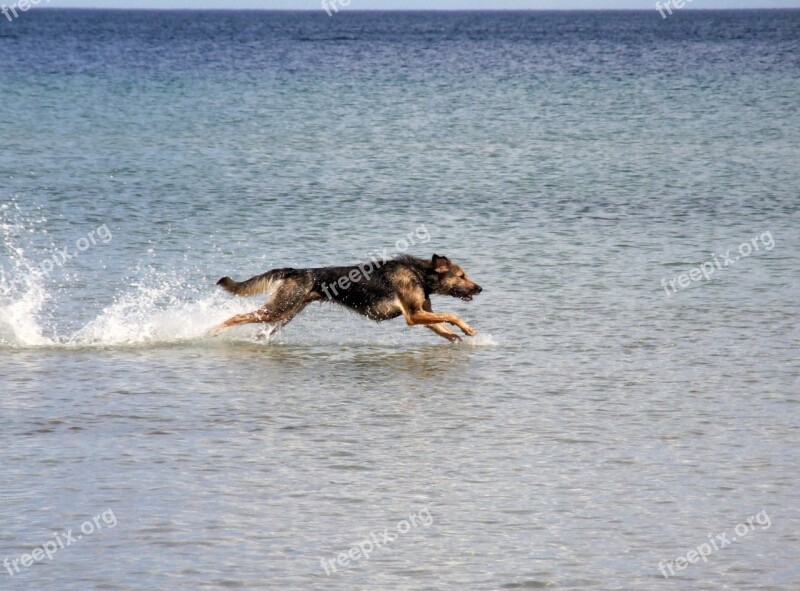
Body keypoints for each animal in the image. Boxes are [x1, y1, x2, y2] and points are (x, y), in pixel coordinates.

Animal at [208, 254, 482, 342]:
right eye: (462, 276)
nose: (480, 288)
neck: (421, 275)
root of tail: (295, 270)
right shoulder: (414, 316)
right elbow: (452, 315)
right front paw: (469, 329)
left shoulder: (422, 314)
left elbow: (445, 328)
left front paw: (460, 337)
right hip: (278, 310)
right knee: (234, 317)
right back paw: (210, 331)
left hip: (284, 315)